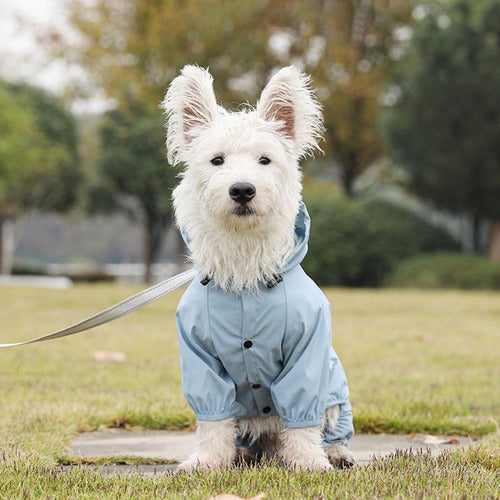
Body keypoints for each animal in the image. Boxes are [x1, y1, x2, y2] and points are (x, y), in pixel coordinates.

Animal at [162, 64, 354, 470]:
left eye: (265, 160)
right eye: (217, 160)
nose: (242, 190)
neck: (245, 268)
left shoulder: (308, 349)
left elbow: (303, 417)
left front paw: (309, 462)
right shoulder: (199, 357)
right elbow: (213, 419)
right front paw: (207, 461)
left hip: (336, 396)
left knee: (329, 427)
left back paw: (335, 452)